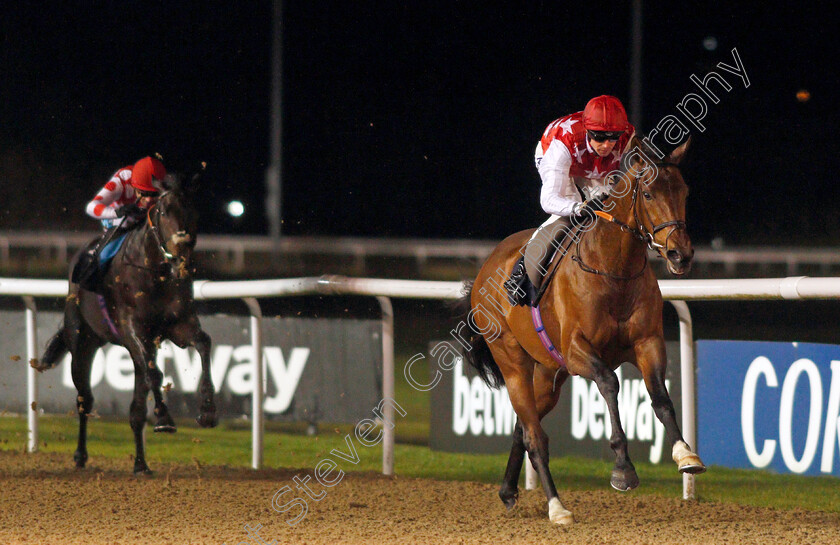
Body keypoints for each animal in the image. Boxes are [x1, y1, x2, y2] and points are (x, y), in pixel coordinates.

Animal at [33, 170, 217, 472]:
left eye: (193, 210)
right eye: (164, 211)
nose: (182, 250)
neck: (155, 272)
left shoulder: (178, 325)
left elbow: (203, 343)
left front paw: (208, 411)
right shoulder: (134, 331)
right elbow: (155, 373)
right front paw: (164, 419)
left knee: (136, 410)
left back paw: (141, 464)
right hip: (82, 342)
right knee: (85, 400)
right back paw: (80, 455)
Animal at [462, 136, 704, 524]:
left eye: (684, 191)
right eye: (648, 194)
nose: (680, 255)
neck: (615, 271)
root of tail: (486, 269)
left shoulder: (648, 342)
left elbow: (661, 396)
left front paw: (685, 454)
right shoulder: (578, 351)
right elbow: (609, 383)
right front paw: (623, 468)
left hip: (549, 374)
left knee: (522, 427)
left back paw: (509, 491)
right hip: (513, 362)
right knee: (535, 436)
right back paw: (557, 507)